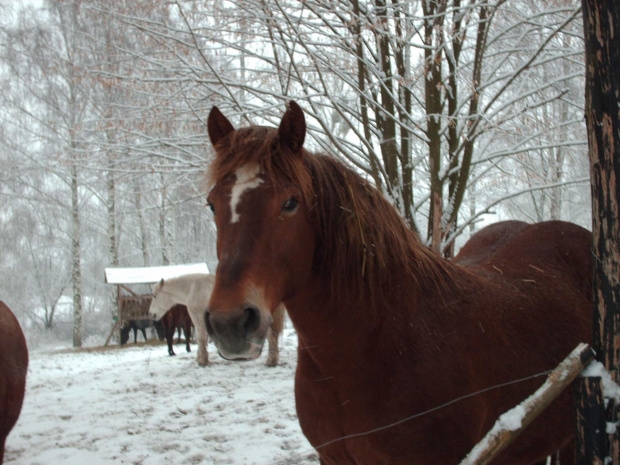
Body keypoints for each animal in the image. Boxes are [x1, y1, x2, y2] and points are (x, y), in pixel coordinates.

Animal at [150, 272, 286, 366]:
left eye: (155, 296)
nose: (151, 314)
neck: (193, 288)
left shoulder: (198, 319)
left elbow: (200, 338)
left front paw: (202, 360)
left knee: (271, 336)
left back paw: (270, 361)